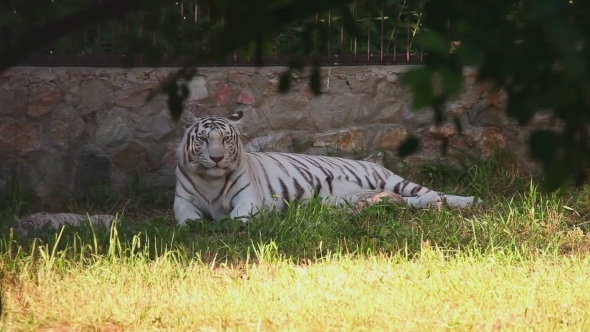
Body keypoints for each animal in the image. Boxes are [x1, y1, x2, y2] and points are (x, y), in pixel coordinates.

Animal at [173, 111, 484, 226]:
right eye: (204, 139)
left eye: (226, 139)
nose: (216, 158)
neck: (212, 179)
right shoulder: (182, 203)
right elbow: (188, 219)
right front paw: (200, 226)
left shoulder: (249, 200)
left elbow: (236, 218)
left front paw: (224, 224)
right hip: (346, 199)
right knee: (404, 201)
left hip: (392, 180)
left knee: (432, 194)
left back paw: (468, 201)